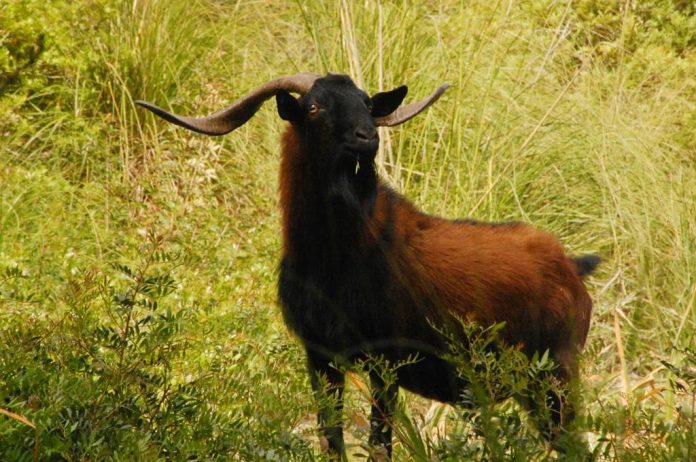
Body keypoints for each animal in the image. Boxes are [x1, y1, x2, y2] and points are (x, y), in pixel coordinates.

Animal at [137, 73, 600, 458]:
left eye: (365, 102)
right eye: (314, 107)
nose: (368, 137)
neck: (331, 262)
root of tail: (572, 267)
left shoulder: (387, 360)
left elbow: (380, 446)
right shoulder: (320, 357)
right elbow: (332, 443)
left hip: (556, 377)